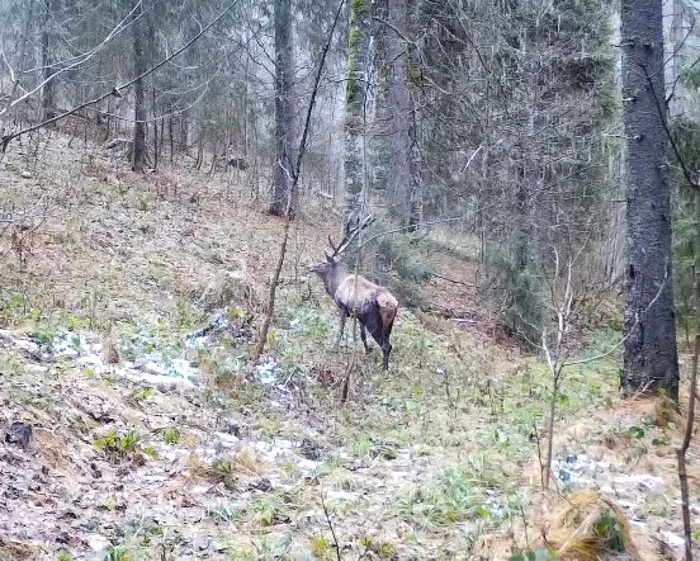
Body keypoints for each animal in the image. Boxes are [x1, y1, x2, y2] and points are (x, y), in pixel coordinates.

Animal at [308, 217, 396, 370]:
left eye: (324, 262)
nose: (310, 266)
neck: (336, 285)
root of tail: (392, 305)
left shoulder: (342, 307)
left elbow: (341, 329)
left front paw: (334, 348)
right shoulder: (359, 317)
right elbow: (361, 335)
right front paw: (367, 351)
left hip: (374, 322)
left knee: (386, 346)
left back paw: (384, 369)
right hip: (388, 325)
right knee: (388, 344)